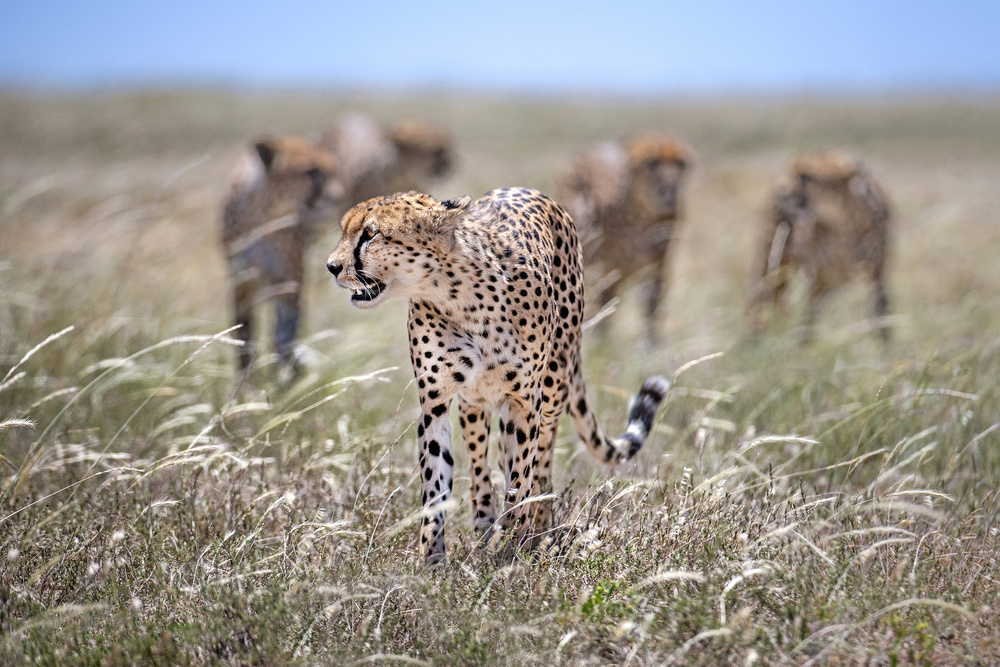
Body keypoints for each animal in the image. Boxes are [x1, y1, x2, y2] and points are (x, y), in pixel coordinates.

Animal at [222, 136, 340, 376]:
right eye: (312, 171)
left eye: (334, 170)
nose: (338, 195)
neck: (266, 215)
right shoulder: (243, 282)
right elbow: (244, 337)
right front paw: (245, 382)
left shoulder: (289, 281)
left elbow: (285, 333)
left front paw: (285, 374)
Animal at [328, 187, 672, 564]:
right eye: (345, 230)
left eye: (370, 234)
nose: (332, 267)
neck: (455, 294)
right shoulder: (436, 403)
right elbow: (436, 481)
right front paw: (432, 559)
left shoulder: (526, 400)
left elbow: (521, 477)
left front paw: (510, 548)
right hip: (475, 404)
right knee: (482, 463)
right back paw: (485, 525)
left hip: (553, 384)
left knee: (541, 456)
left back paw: (538, 526)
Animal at [560, 133, 692, 342]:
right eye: (652, 162)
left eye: (680, 163)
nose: (671, 188)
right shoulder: (608, 268)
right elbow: (605, 306)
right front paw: (601, 340)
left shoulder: (657, 267)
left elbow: (652, 310)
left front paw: (652, 344)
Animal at [748, 149, 896, 342]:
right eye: (801, 176)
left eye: (806, 177)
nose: (781, 193)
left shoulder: (872, 271)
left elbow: (880, 310)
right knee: (763, 299)